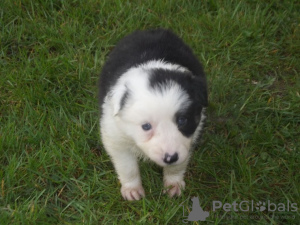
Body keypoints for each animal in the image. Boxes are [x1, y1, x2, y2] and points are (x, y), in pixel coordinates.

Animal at [98, 28, 206, 200]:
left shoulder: (190, 137)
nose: (170, 157)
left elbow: (178, 165)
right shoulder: (115, 136)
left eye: (182, 120)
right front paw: (132, 190)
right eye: (146, 126)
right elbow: (127, 166)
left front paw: (173, 184)